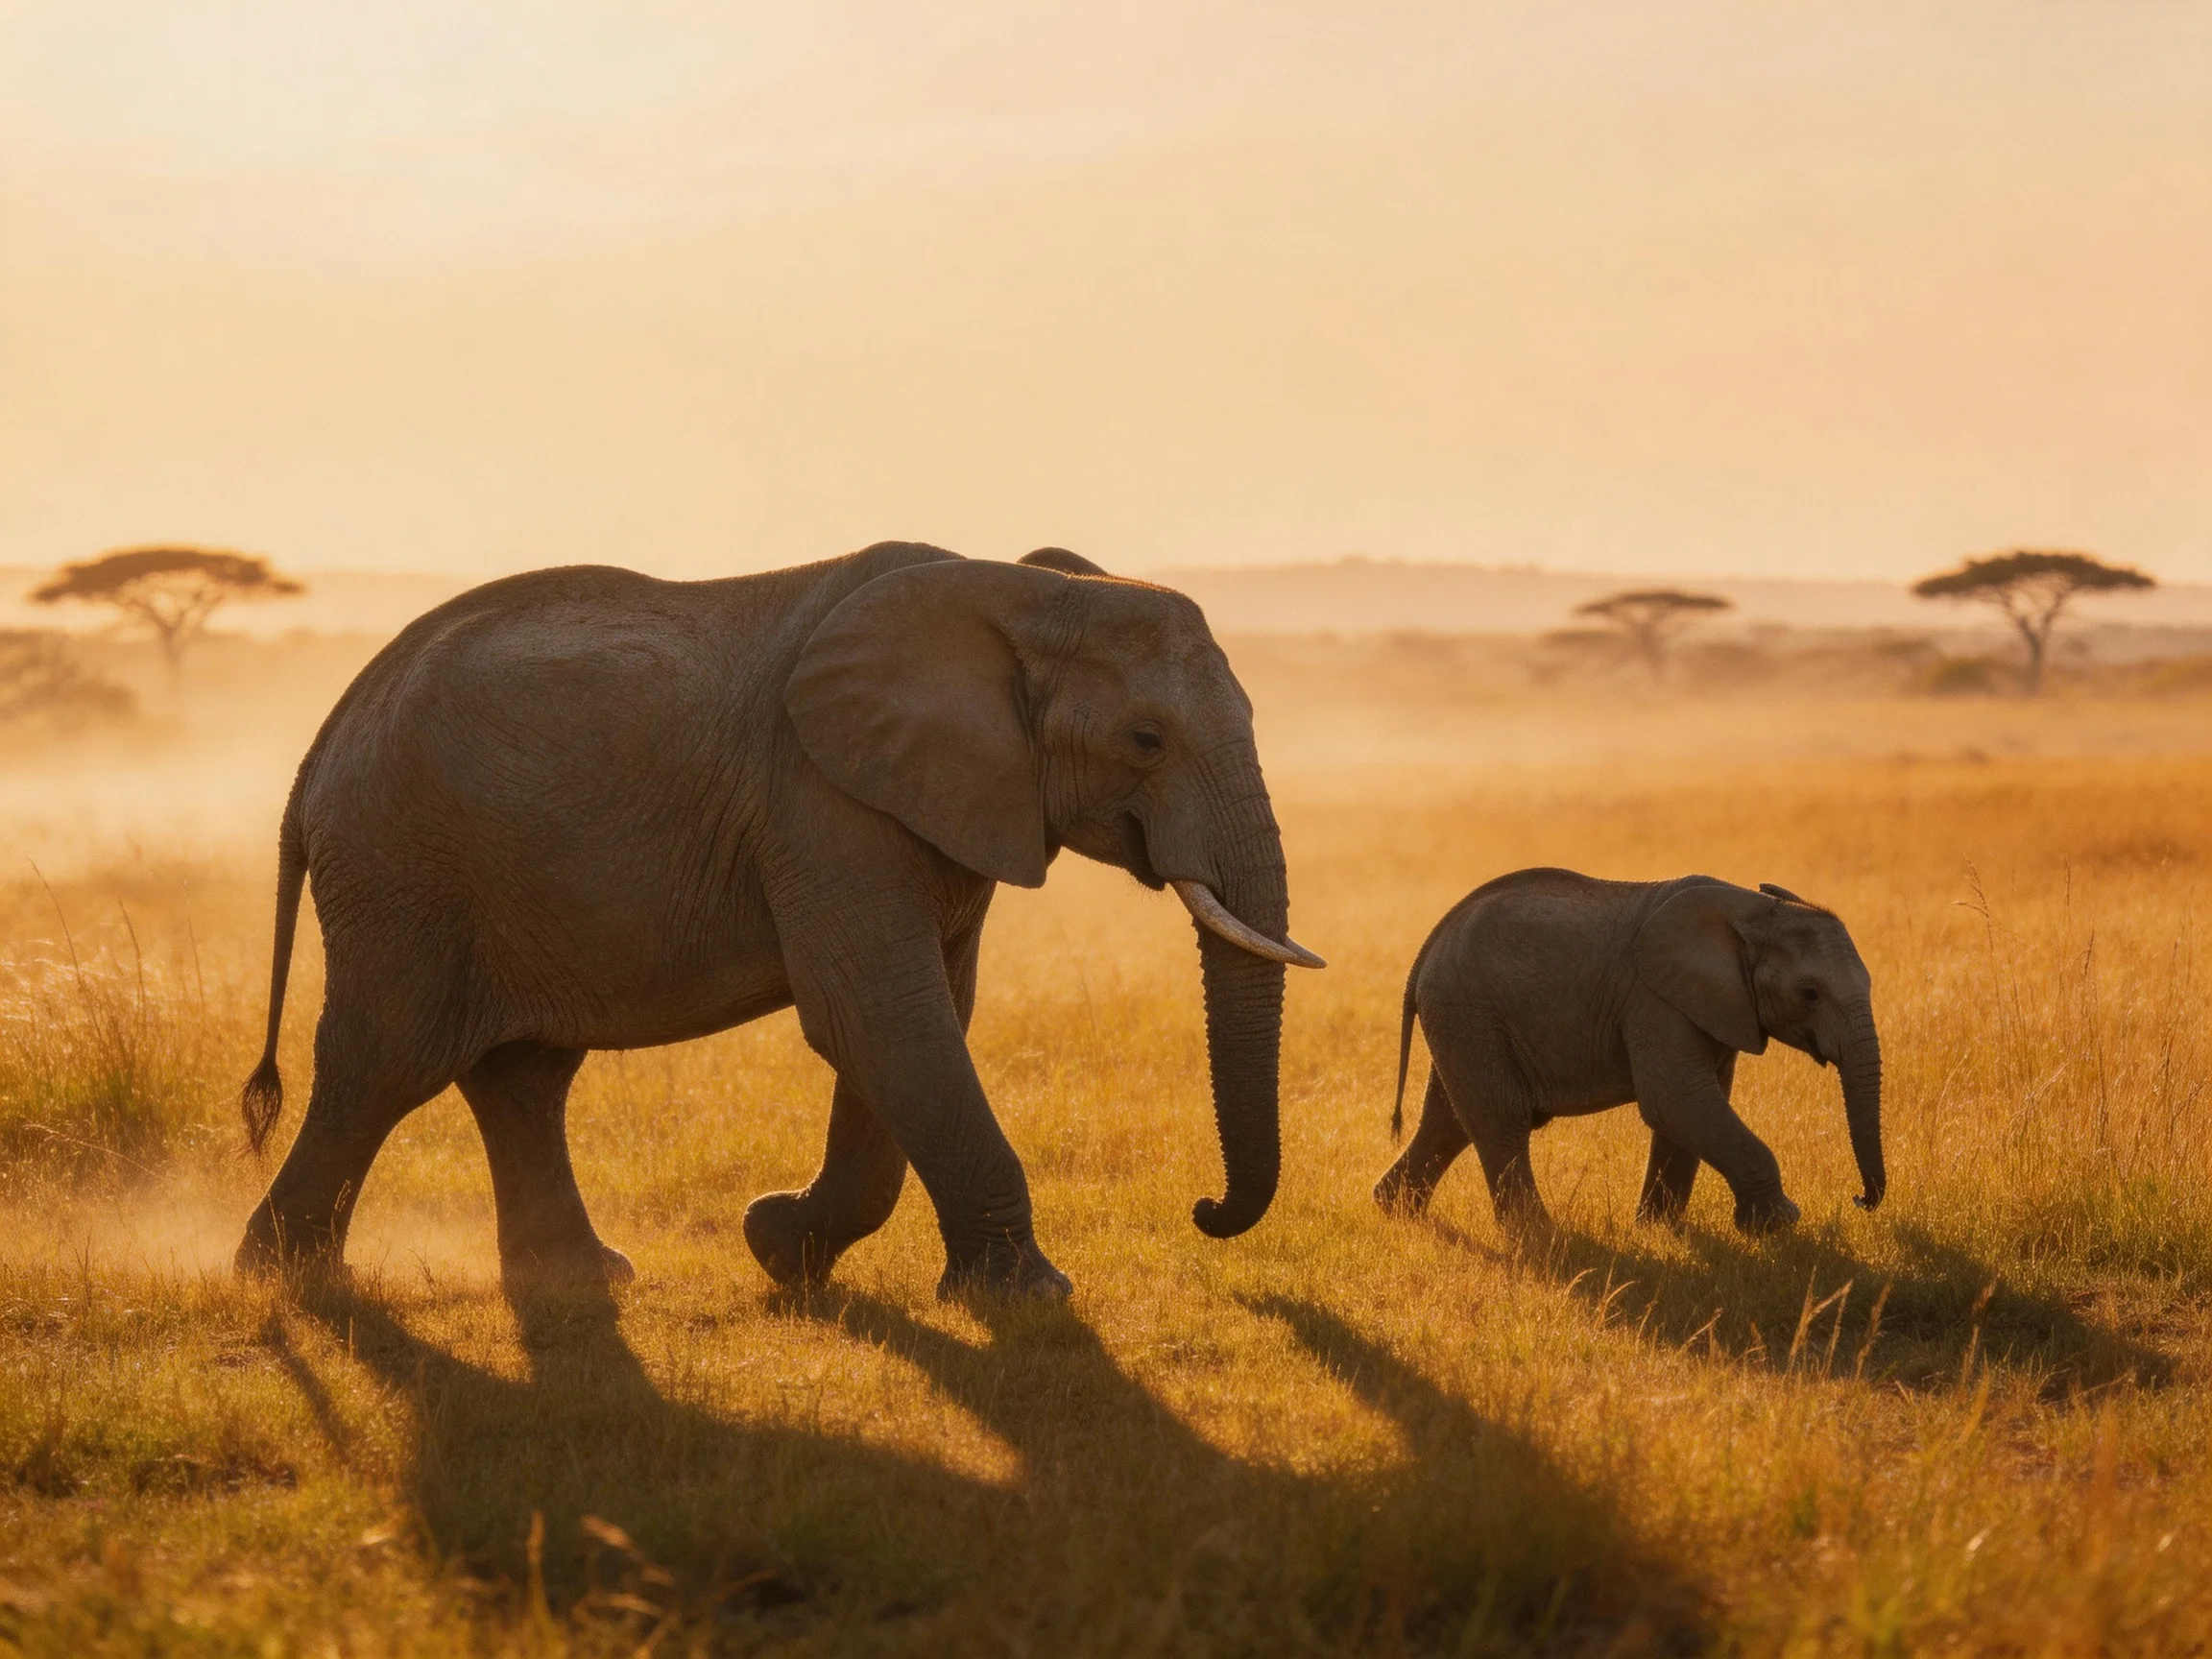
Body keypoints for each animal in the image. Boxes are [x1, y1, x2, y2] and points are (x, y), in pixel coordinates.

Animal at [234, 541, 1323, 1299]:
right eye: (1145, 739)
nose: (1205, 1209)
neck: (1013, 592)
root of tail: (317, 753)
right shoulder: (822, 801)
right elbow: (878, 1018)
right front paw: (1032, 1298)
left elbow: (922, 1020)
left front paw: (779, 1249)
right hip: (399, 868)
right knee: (384, 1063)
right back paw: (289, 1281)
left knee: (522, 1077)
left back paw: (581, 1281)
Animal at [1373, 870, 1883, 1235]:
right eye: (1809, 993)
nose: (1858, 1199)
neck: (1753, 909)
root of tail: (1426, 951)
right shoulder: (1654, 1001)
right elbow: (1676, 1101)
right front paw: (1778, 1226)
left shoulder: (1713, 1008)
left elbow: (1691, 1108)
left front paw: (1659, 1230)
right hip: (1467, 1010)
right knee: (1503, 1118)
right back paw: (1539, 1235)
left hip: (1462, 1019)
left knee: (1450, 1121)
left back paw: (1396, 1211)